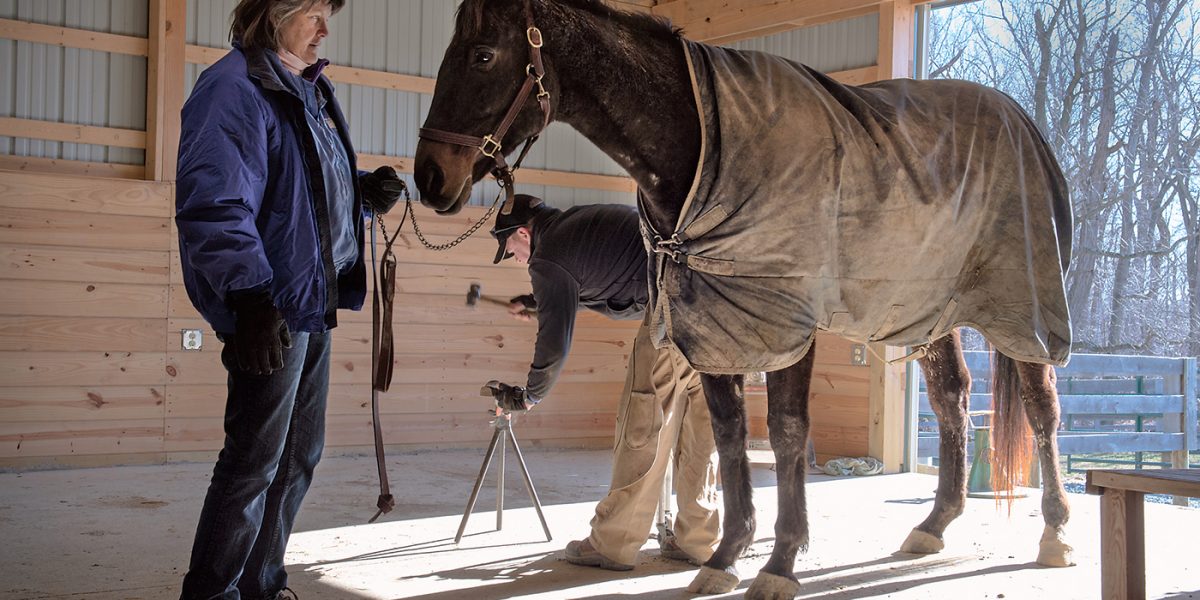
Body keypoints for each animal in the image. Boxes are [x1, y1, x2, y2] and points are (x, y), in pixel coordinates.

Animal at [415, 2, 1080, 597]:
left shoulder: (784, 325)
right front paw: (725, 557)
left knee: (1041, 408)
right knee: (951, 400)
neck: (702, 141)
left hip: (1022, 306)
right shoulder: (714, 326)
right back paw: (933, 526)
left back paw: (1056, 534)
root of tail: (1022, 120)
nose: (429, 177)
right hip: (926, 311)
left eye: (482, 55)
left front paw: (779, 563)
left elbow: (784, 434)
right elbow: (730, 436)